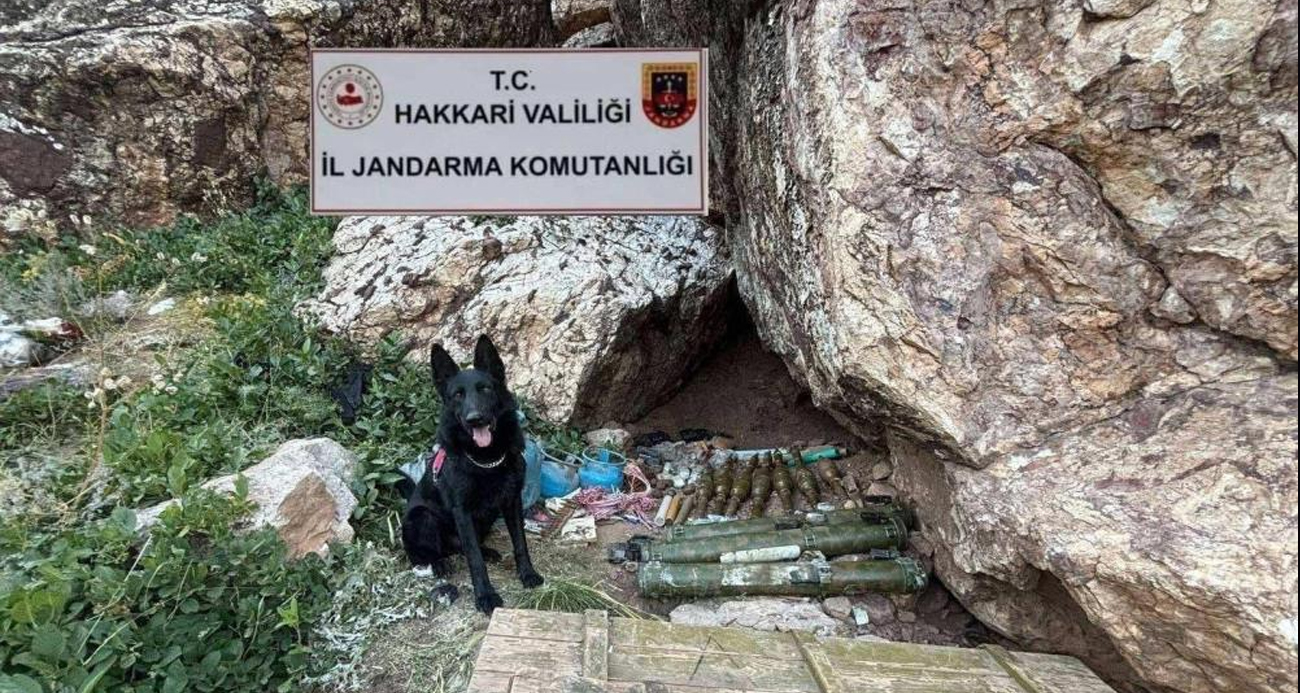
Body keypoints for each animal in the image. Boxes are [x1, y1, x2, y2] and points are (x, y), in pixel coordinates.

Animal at [395, 335, 538, 611]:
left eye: (485, 389)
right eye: (458, 395)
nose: (475, 419)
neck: (486, 459)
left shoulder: (511, 501)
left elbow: (520, 543)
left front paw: (528, 574)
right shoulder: (462, 511)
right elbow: (474, 559)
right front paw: (485, 596)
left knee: (462, 547)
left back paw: (487, 551)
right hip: (422, 517)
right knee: (424, 554)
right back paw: (438, 563)